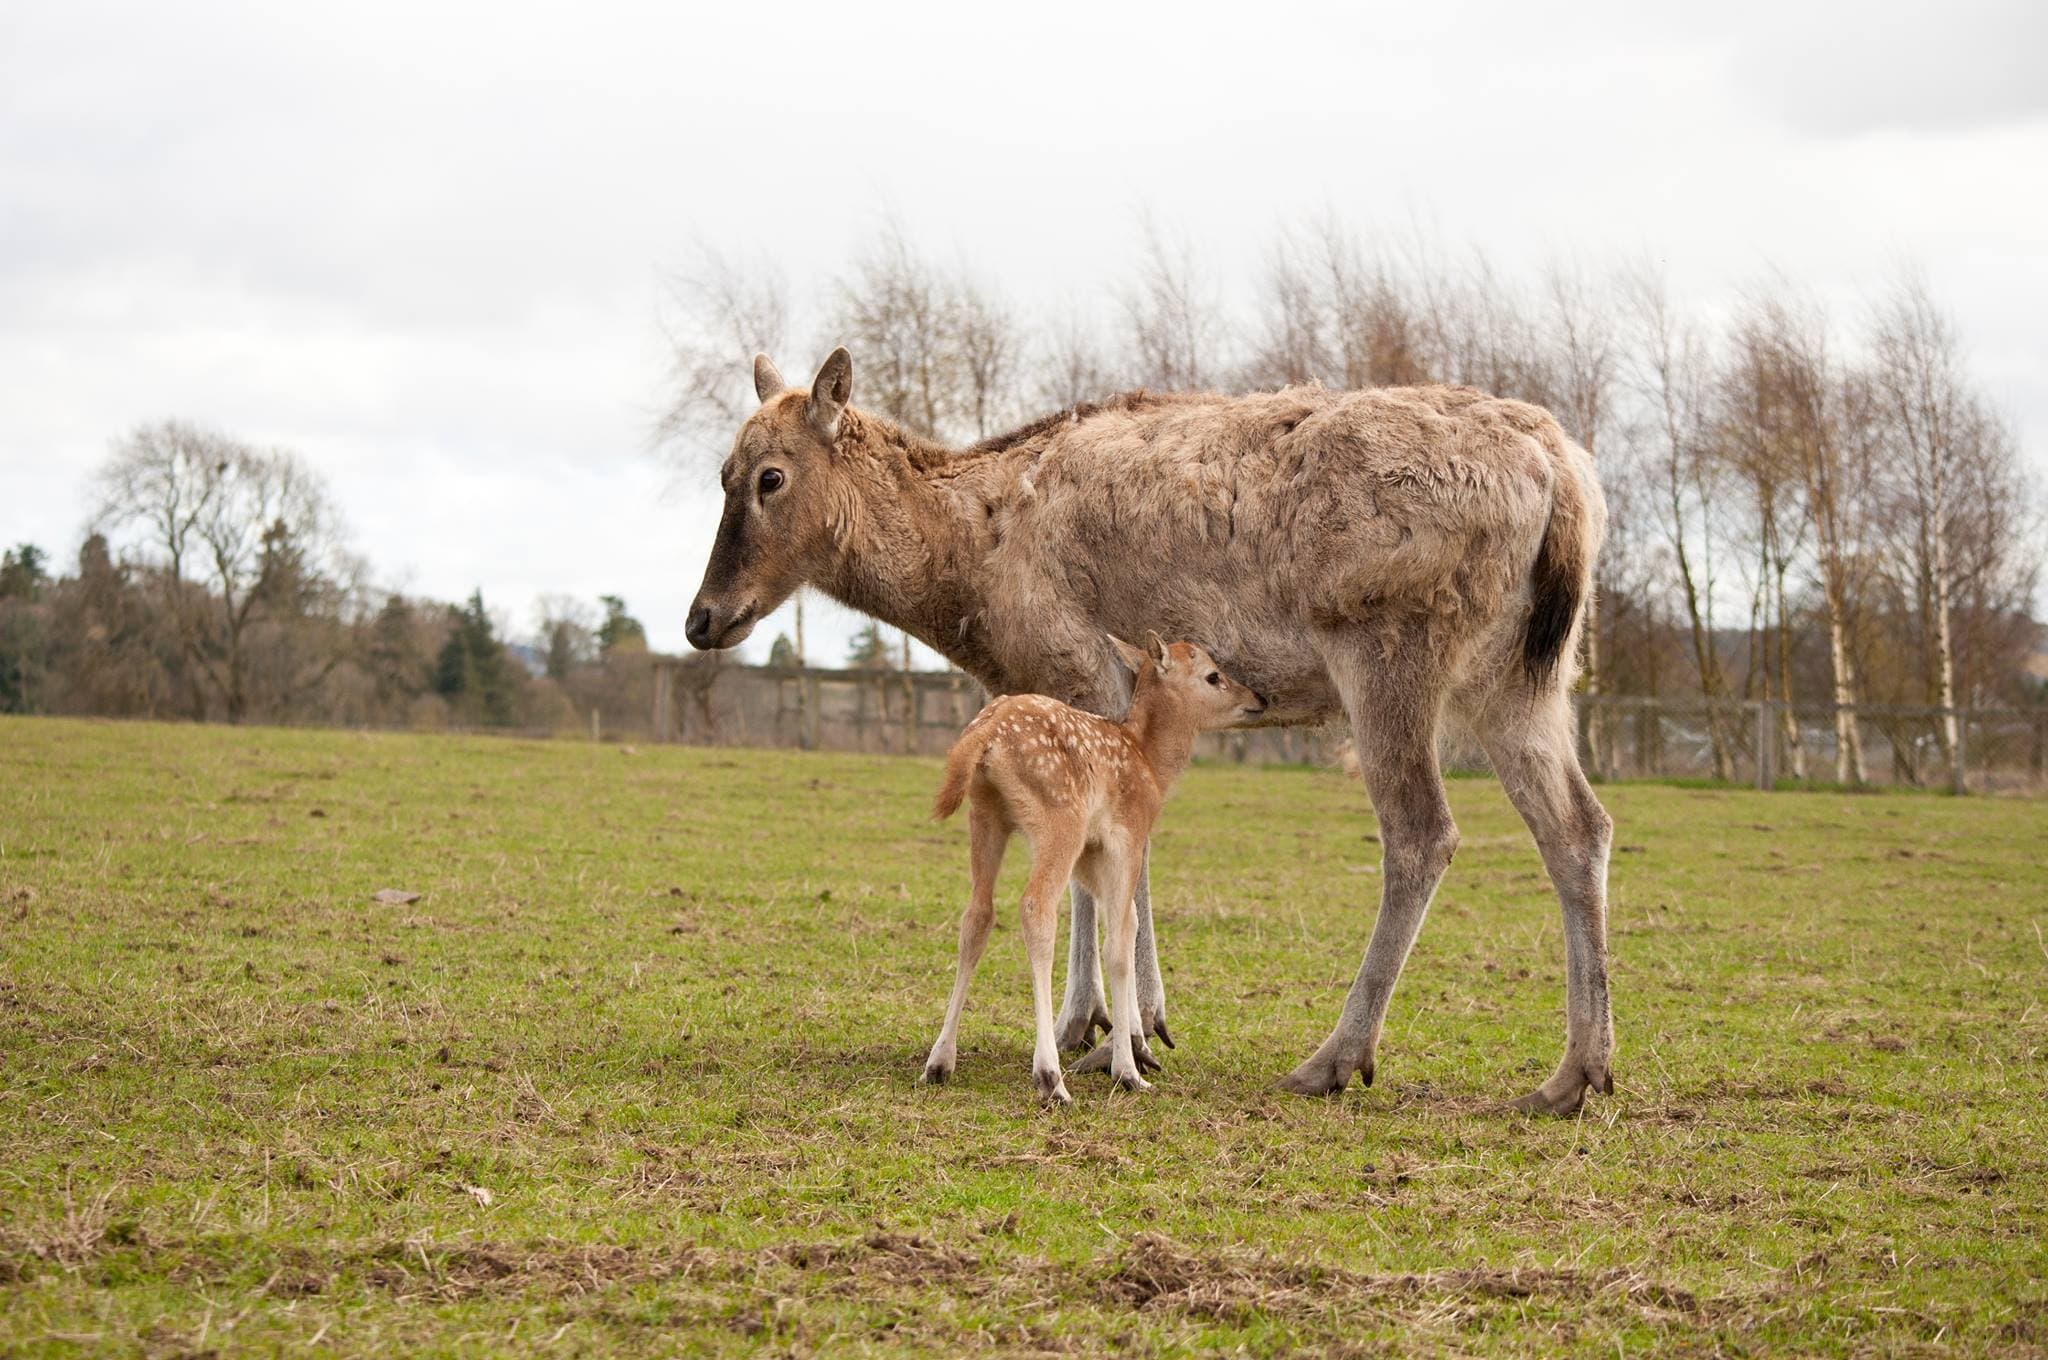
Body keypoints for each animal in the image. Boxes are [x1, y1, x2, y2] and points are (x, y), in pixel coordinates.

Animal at [922, 633, 1264, 1103]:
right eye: (1214, 676)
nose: (1259, 699)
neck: (1151, 766)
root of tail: (988, 732)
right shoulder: (1127, 838)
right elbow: (1118, 943)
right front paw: (1129, 1071)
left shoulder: (1092, 854)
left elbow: (1128, 922)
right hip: (1058, 817)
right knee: (1035, 907)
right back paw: (1050, 1077)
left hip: (985, 813)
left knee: (977, 914)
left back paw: (939, 1062)